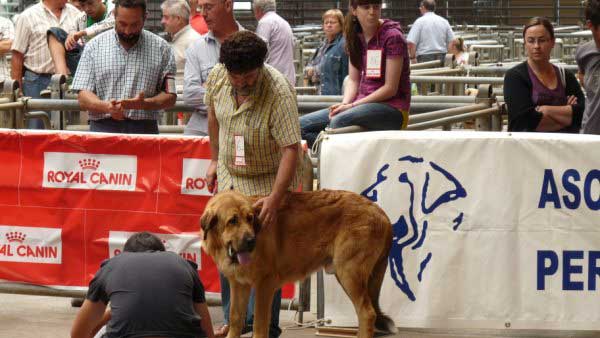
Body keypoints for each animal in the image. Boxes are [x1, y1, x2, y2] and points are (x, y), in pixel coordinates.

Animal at [202, 190, 398, 338]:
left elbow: (259, 324)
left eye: (250, 219)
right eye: (232, 221)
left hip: (349, 274)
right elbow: (235, 318)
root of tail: (381, 213)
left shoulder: (265, 285)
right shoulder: (239, 285)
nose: (251, 241)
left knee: (367, 314)